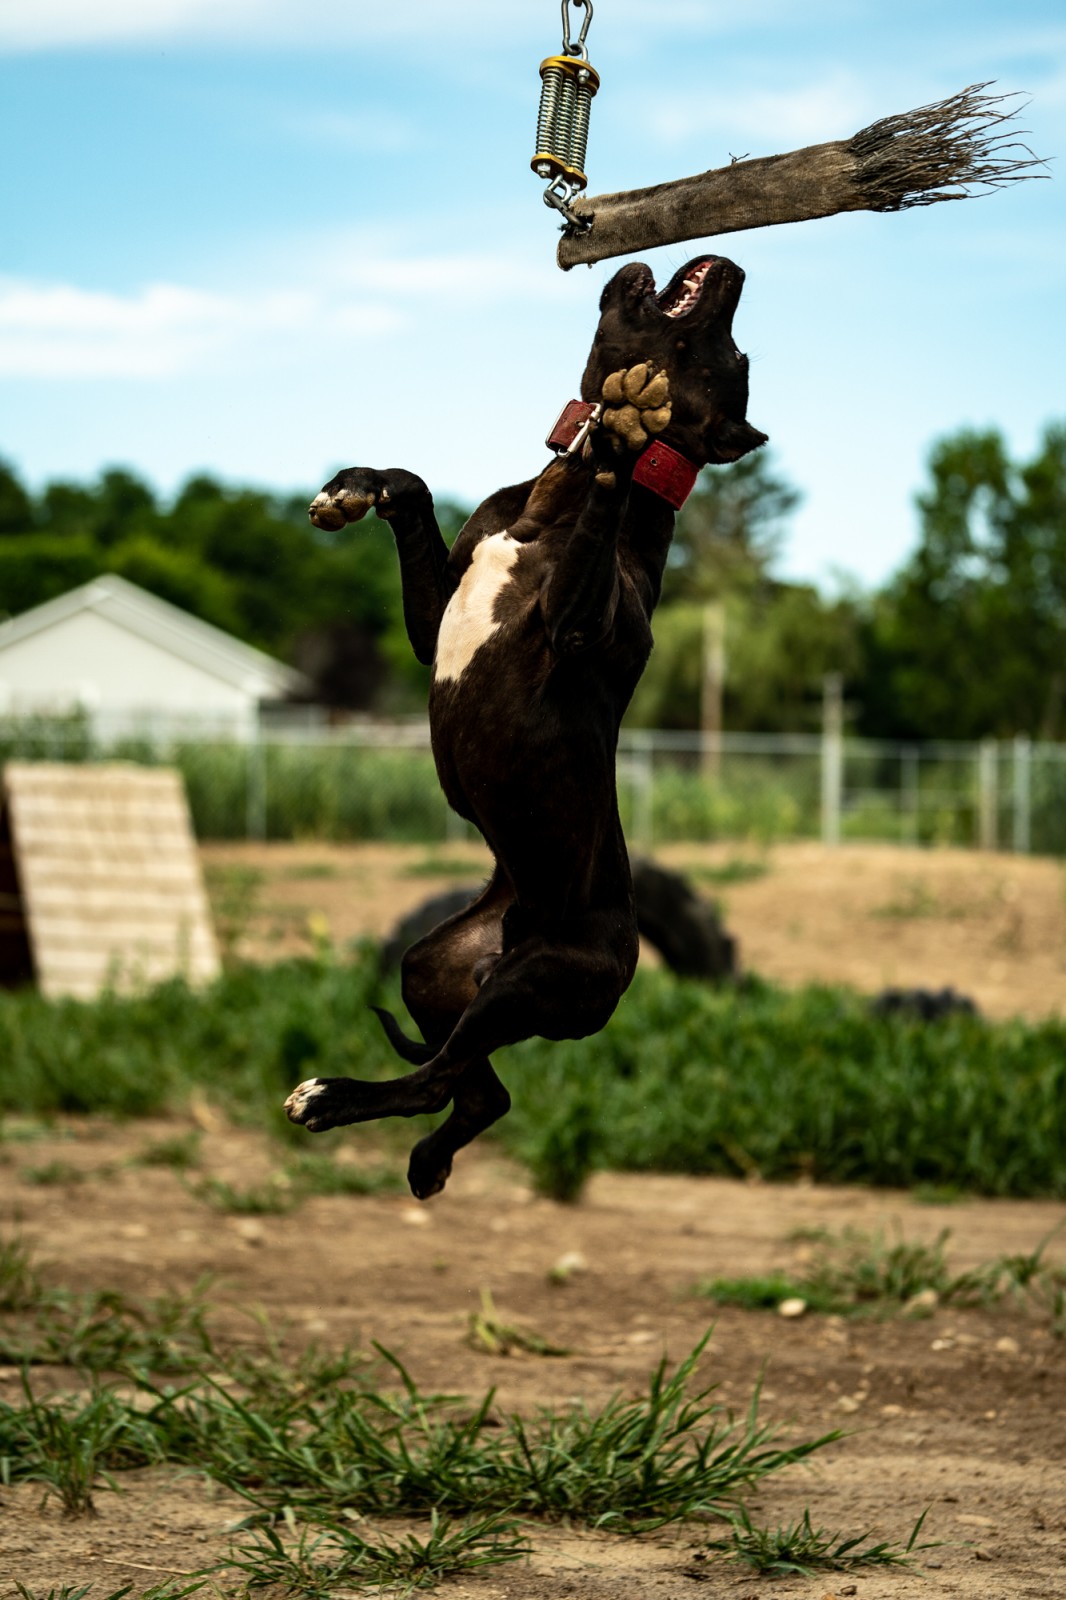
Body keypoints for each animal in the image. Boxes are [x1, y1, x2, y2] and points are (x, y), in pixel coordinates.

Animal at [281, 256, 765, 1196]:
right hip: (433, 972)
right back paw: (428, 1159)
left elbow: (599, 520)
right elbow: (413, 487)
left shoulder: (585, 623)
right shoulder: (434, 620)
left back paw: (329, 1099)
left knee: (436, 1079)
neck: (553, 495)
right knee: (470, 1088)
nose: (731, 265)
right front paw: (354, 488)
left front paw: (625, 433)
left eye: (734, 355)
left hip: (531, 983)